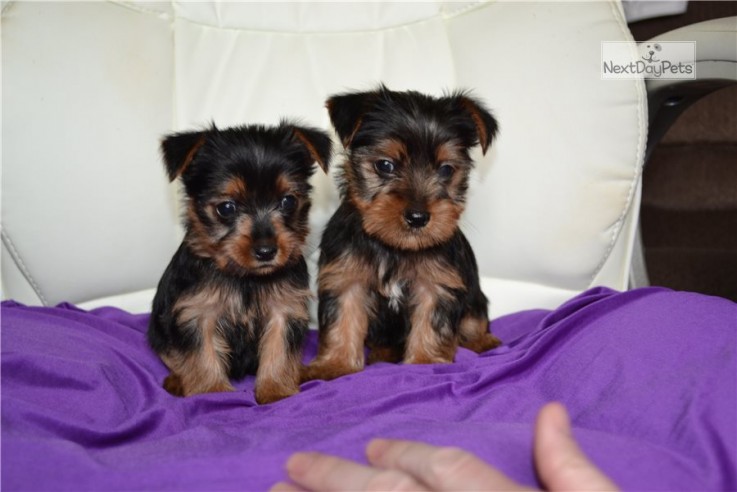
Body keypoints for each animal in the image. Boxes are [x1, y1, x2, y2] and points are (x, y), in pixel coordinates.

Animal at [148, 120, 330, 404]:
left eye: (288, 201)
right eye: (227, 208)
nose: (266, 251)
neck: (245, 278)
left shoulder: (284, 309)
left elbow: (279, 349)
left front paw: (276, 389)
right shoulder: (197, 313)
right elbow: (202, 355)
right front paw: (212, 393)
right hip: (158, 332)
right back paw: (177, 381)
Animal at [302, 86, 504, 382]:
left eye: (446, 169)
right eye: (385, 165)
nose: (418, 217)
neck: (394, 247)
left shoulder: (437, 284)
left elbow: (432, 324)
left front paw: (425, 361)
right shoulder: (346, 278)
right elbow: (342, 321)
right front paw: (334, 365)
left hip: (474, 299)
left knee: (473, 322)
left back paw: (484, 341)